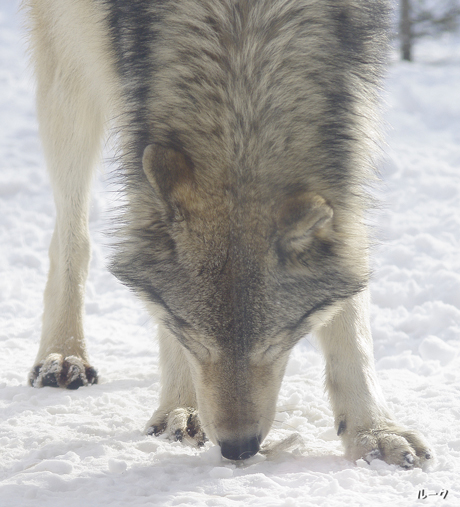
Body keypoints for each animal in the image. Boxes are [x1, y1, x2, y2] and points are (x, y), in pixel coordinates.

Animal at [25, 0, 434, 468]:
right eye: (194, 338)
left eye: (276, 344)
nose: (240, 449)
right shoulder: (128, 82)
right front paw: (181, 407)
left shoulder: (351, 122)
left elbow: (350, 312)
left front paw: (374, 431)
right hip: (69, 77)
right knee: (71, 234)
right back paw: (62, 354)